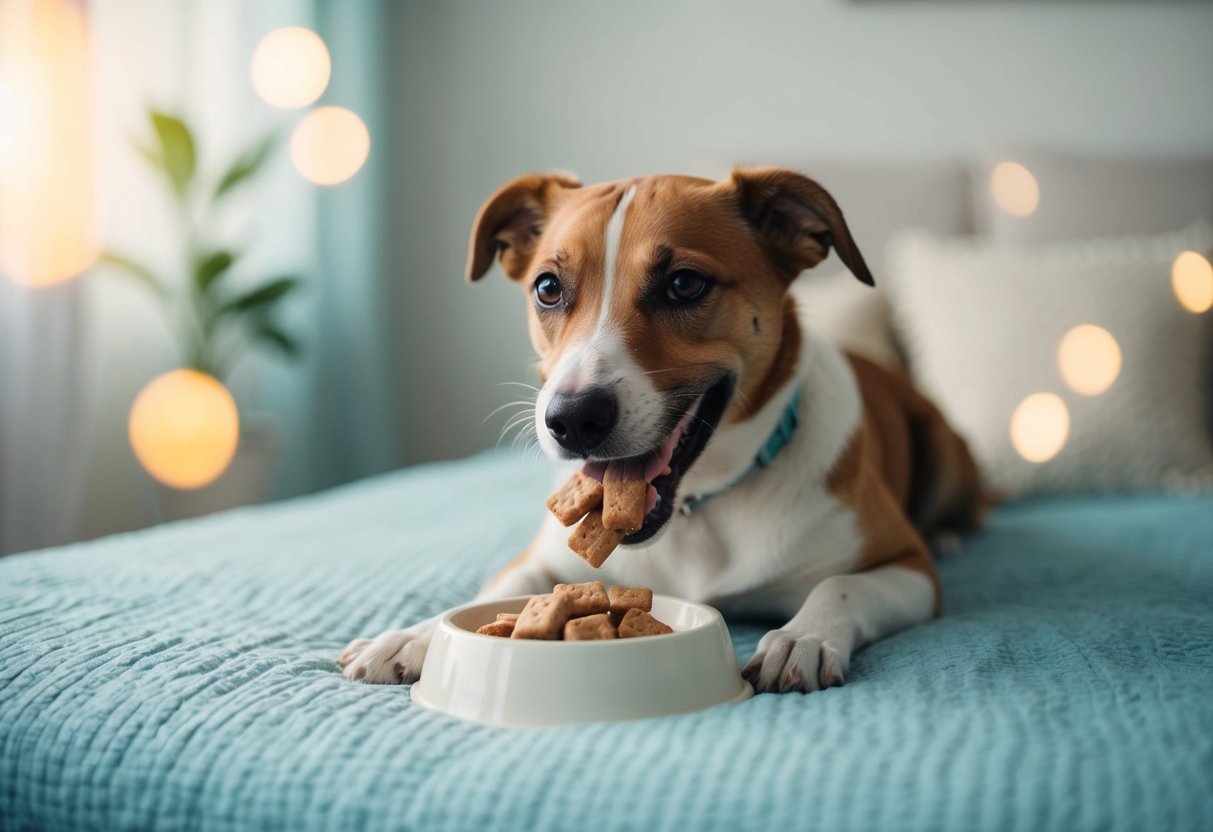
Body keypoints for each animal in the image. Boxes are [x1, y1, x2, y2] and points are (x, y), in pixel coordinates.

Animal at [337, 166, 980, 693]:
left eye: (684, 284)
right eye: (548, 288)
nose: (572, 419)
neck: (698, 511)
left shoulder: (908, 567)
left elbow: (841, 586)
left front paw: (803, 637)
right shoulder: (541, 561)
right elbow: (494, 591)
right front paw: (414, 634)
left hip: (947, 450)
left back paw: (950, 532)